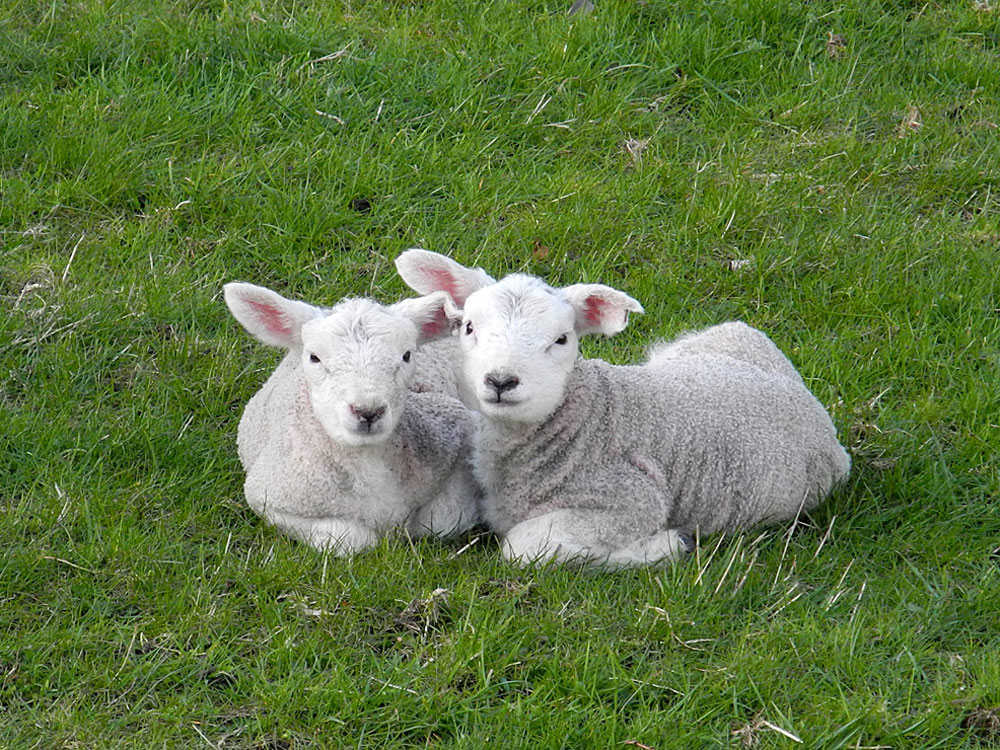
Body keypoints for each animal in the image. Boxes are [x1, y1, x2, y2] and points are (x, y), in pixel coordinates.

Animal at [223, 281, 479, 555]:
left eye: (407, 355)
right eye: (314, 357)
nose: (368, 411)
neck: (369, 463)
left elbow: (441, 520)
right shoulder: (268, 499)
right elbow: (352, 539)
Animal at [394, 249, 851, 569]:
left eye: (562, 339)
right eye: (469, 327)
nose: (501, 381)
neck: (588, 418)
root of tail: (816, 415)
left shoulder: (630, 501)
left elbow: (523, 546)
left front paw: (659, 547)